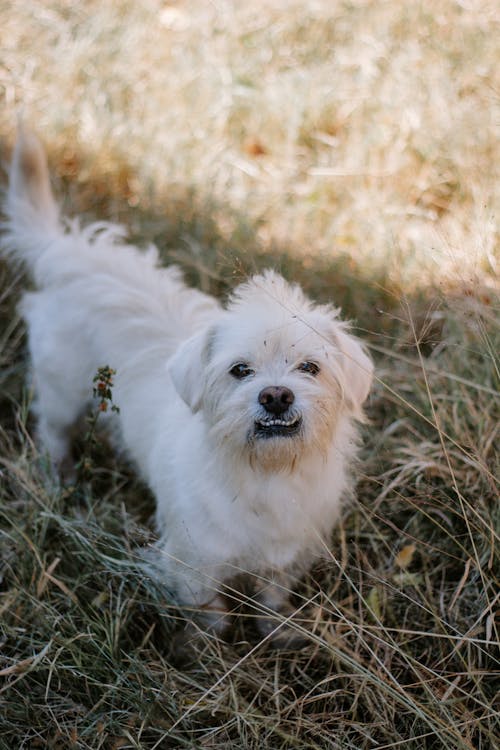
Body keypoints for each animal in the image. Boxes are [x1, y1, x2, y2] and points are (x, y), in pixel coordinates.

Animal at [2, 129, 372, 648]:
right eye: (240, 370)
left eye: (310, 367)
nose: (276, 395)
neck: (265, 476)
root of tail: (68, 251)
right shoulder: (194, 564)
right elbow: (208, 612)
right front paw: (205, 648)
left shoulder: (285, 555)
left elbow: (272, 597)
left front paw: (278, 632)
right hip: (63, 393)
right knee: (53, 432)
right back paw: (61, 476)